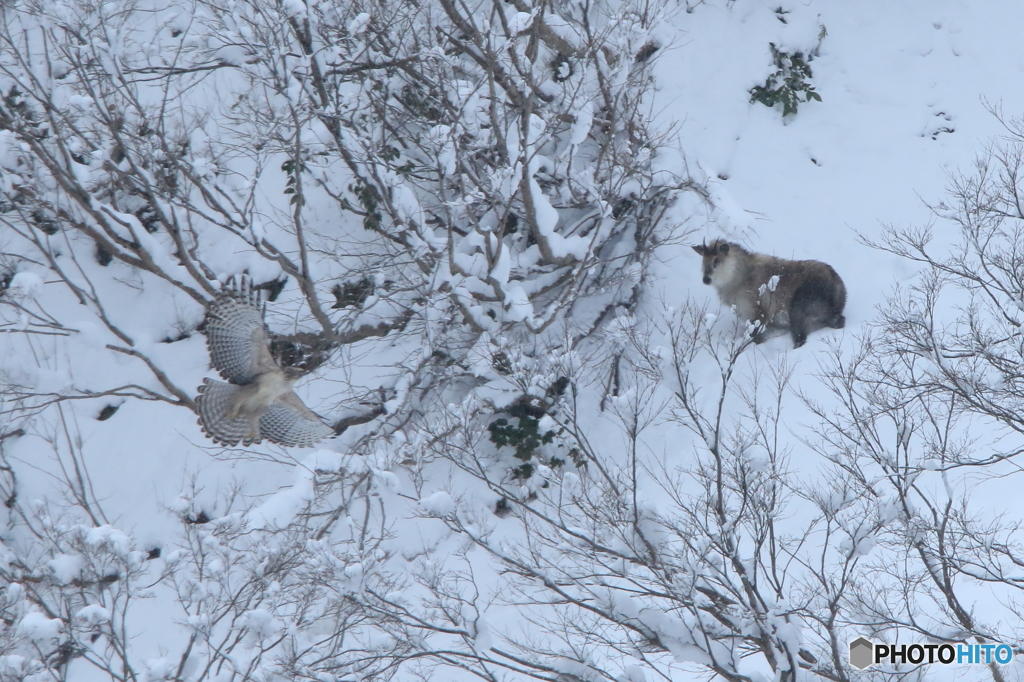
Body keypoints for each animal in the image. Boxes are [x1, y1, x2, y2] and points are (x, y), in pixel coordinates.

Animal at [696, 237, 847, 346]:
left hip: (798, 309)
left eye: (716, 260)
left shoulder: (758, 312)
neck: (739, 277)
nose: (706, 279)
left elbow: (756, 336)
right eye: (703, 261)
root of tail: (837, 288)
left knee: (800, 336)